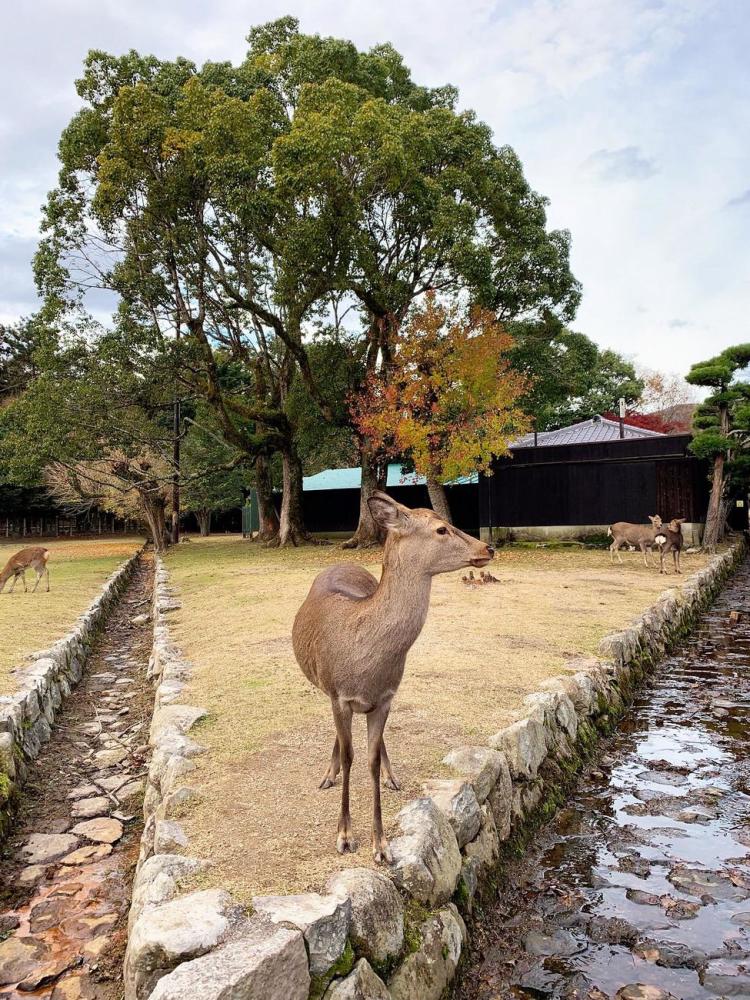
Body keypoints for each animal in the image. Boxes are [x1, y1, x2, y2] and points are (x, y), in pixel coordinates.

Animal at [290, 492, 496, 860]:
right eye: (441, 529)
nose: (488, 548)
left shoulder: (386, 698)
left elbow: (370, 760)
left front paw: (382, 844)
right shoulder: (339, 695)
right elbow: (350, 755)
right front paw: (344, 836)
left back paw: (391, 776)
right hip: (326, 688)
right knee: (339, 738)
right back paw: (328, 774)